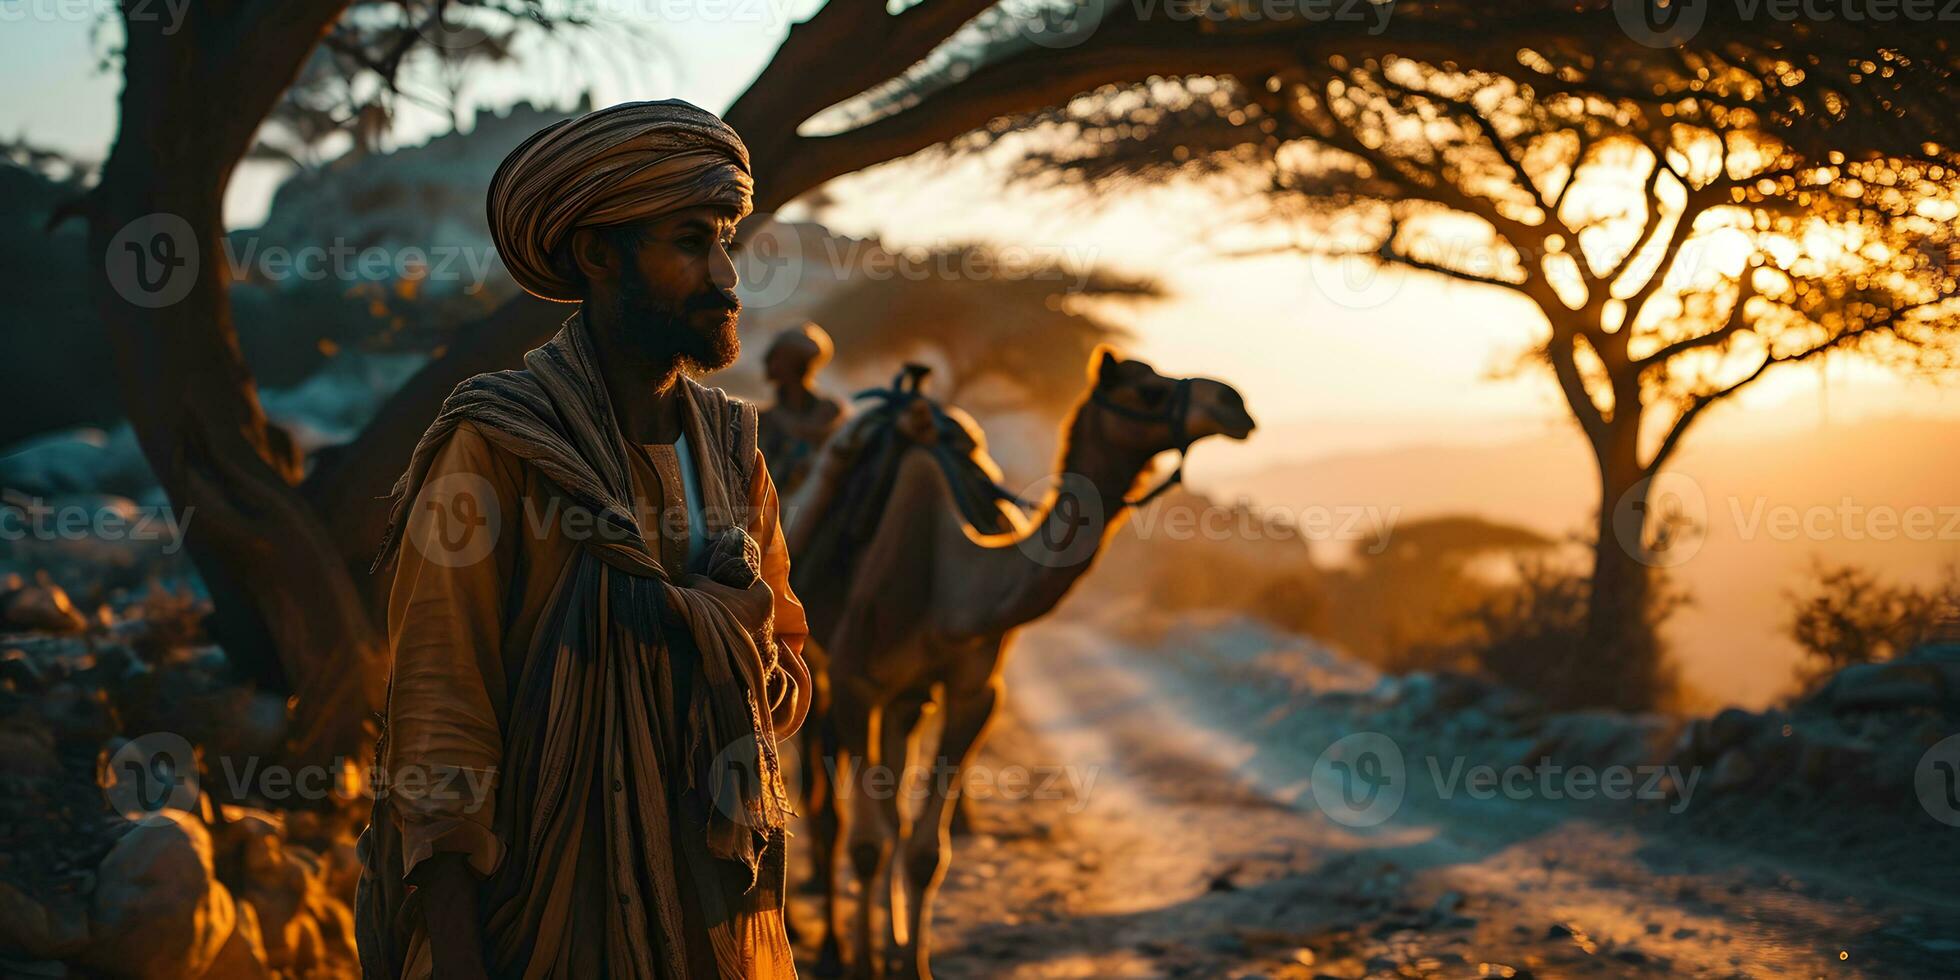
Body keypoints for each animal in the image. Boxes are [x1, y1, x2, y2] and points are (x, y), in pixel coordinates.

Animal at [780, 348, 1254, 976]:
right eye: (1147, 390)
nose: (1235, 404)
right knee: (825, 810)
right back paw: (829, 944)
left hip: (906, 699)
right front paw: (861, 965)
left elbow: (924, 849)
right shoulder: (858, 682)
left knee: (891, 810)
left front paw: (912, 963)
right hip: (818, 674)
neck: (952, 580)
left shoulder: (973, 692)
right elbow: (866, 845)